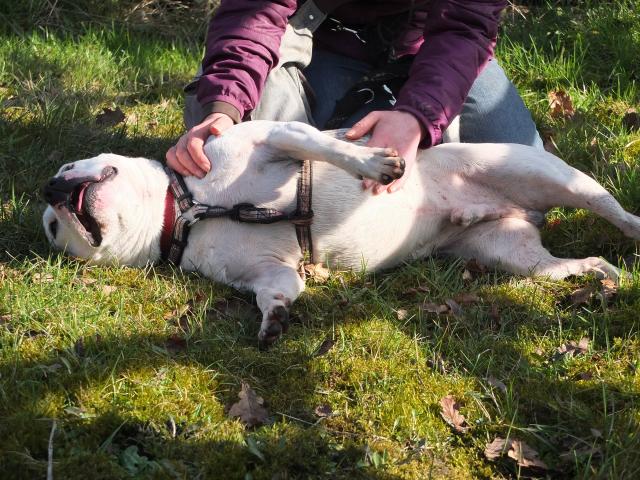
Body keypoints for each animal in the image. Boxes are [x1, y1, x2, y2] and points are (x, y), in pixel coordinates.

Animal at [42, 120, 636, 344]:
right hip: (512, 255)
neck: (189, 207)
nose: (52, 189)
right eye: (52, 230)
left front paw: (375, 164)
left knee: (609, 206)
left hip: (547, 175)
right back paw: (601, 274)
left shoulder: (278, 137)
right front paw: (274, 322)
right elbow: (277, 292)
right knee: (565, 267)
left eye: (69, 164)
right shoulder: (268, 272)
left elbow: (326, 146)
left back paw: (633, 229)